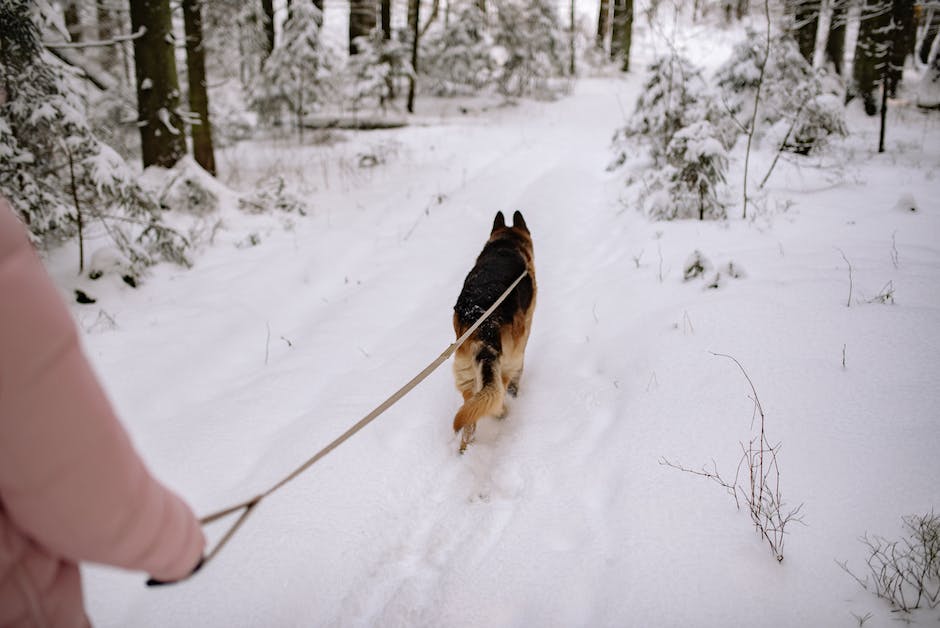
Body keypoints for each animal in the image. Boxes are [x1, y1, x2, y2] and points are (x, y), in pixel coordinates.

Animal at [454, 211, 536, 452]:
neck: (506, 243)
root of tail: (482, 321)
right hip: (506, 361)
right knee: (500, 393)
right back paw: (504, 411)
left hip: (467, 378)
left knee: (470, 419)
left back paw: (464, 451)